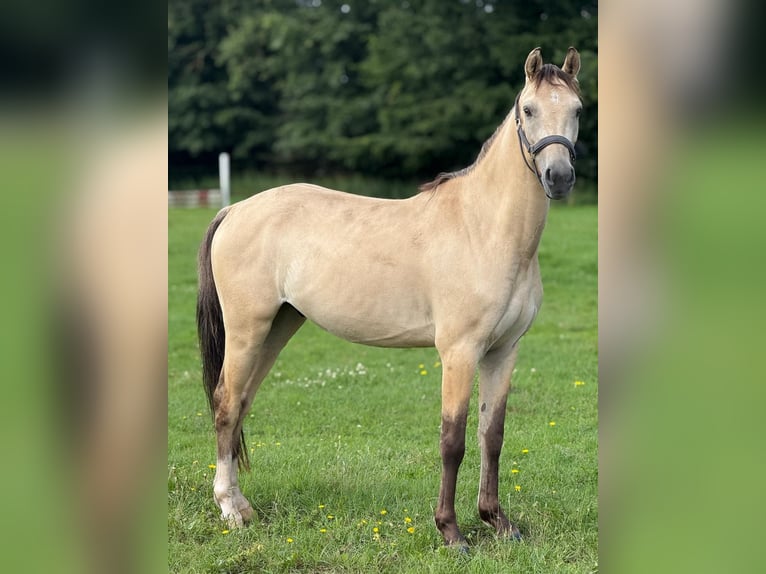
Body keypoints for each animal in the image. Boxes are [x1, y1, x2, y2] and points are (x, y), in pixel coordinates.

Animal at [197, 47, 582, 550]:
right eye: (529, 110)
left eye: (578, 110)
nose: (559, 177)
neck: (484, 229)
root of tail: (234, 209)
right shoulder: (459, 352)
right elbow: (453, 439)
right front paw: (451, 532)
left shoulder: (503, 351)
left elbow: (492, 435)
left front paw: (497, 522)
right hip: (247, 330)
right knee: (226, 403)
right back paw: (230, 510)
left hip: (277, 328)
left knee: (242, 402)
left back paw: (244, 506)